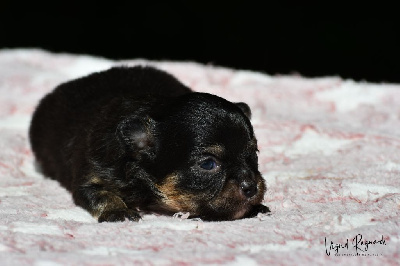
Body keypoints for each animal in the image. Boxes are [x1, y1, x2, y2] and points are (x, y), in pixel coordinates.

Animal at [29, 66, 268, 222]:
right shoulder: (91, 175)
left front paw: (256, 207)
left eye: (254, 154)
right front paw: (119, 212)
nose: (252, 187)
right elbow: (101, 194)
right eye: (208, 164)